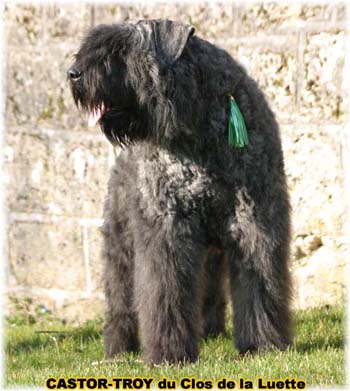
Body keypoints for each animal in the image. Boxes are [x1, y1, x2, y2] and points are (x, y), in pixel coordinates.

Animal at [69, 19, 292, 366]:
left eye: (121, 50)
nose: (74, 73)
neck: (197, 127)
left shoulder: (254, 223)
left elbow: (259, 285)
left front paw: (261, 345)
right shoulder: (167, 232)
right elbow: (165, 292)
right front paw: (169, 354)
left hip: (210, 249)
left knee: (210, 289)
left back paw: (210, 330)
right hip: (121, 245)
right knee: (120, 298)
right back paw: (119, 347)